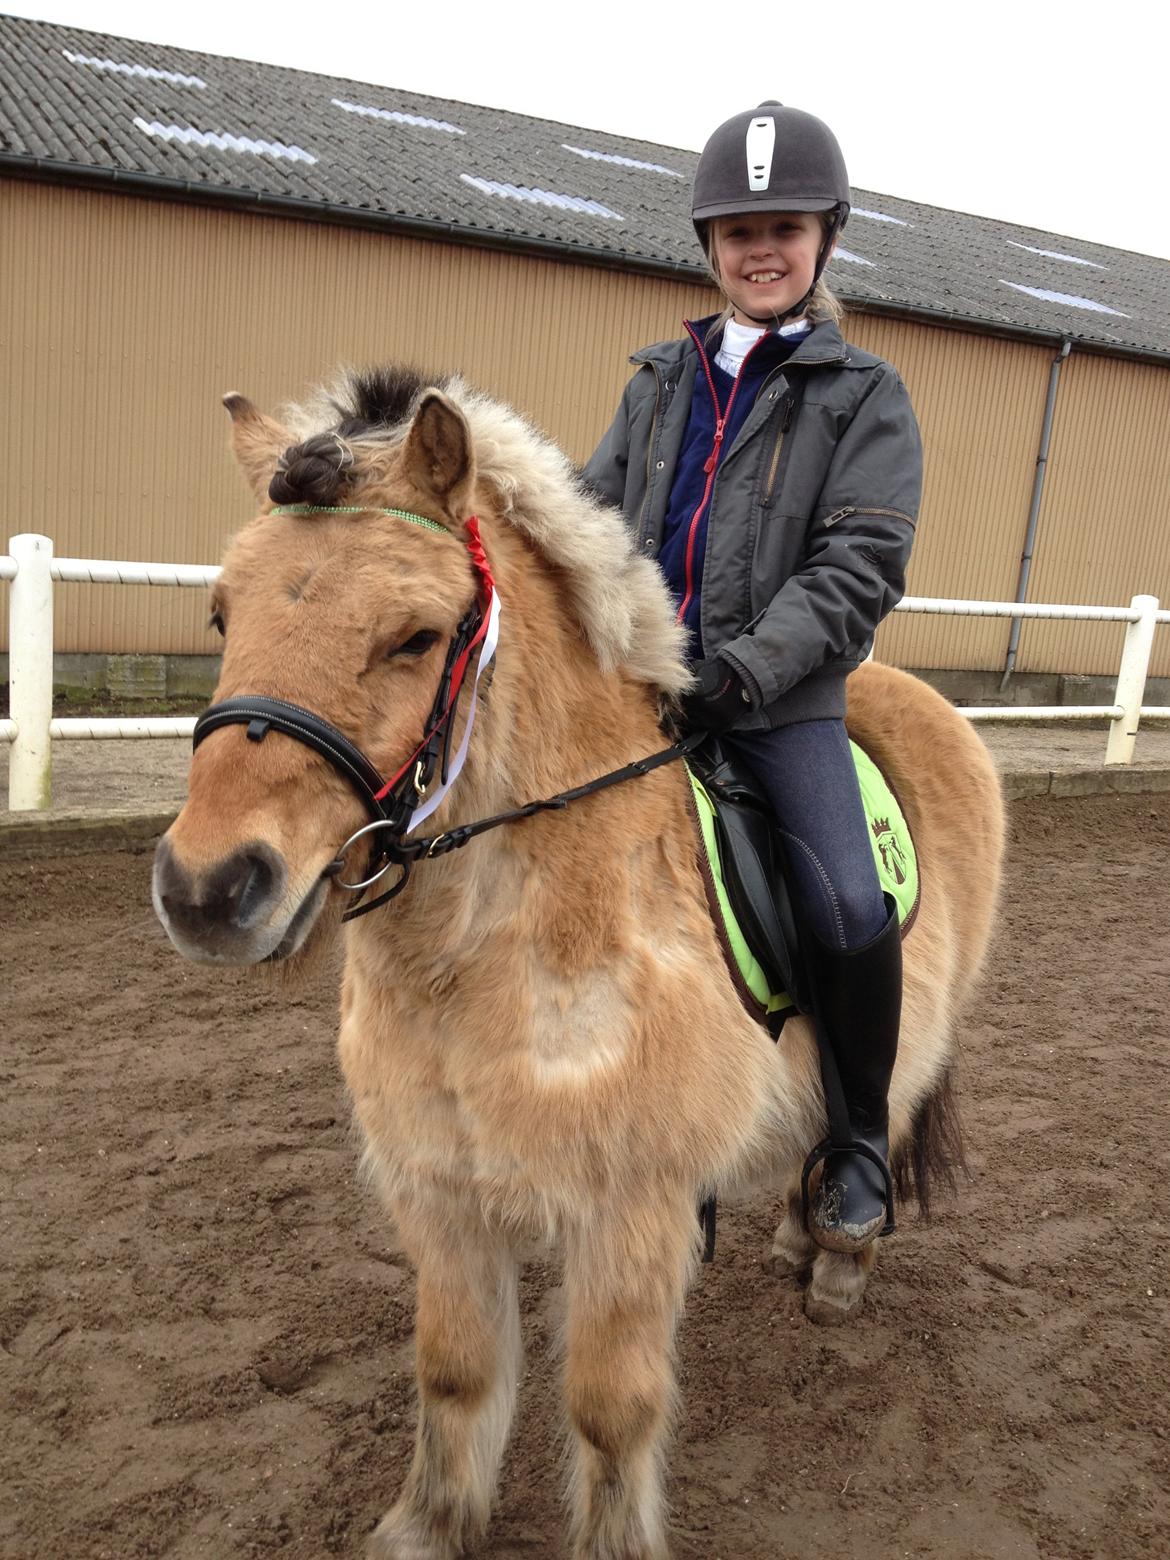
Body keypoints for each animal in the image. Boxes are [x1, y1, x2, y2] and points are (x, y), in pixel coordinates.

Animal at [151, 368, 1004, 1560]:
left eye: (415, 637)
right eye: (224, 612)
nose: (208, 889)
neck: (480, 963)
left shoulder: (626, 1210)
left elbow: (610, 1408)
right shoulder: (439, 1193)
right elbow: (454, 1374)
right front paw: (426, 1527)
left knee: (875, 1101)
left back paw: (840, 1247)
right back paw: (801, 1228)